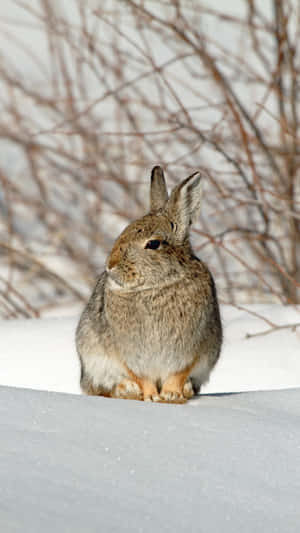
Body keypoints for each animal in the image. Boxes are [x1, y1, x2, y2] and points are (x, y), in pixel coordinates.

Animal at [77, 166, 223, 404]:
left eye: (153, 244)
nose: (110, 265)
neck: (158, 285)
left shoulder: (193, 350)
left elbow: (177, 374)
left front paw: (171, 395)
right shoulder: (129, 355)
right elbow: (141, 377)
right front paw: (151, 398)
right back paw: (127, 390)